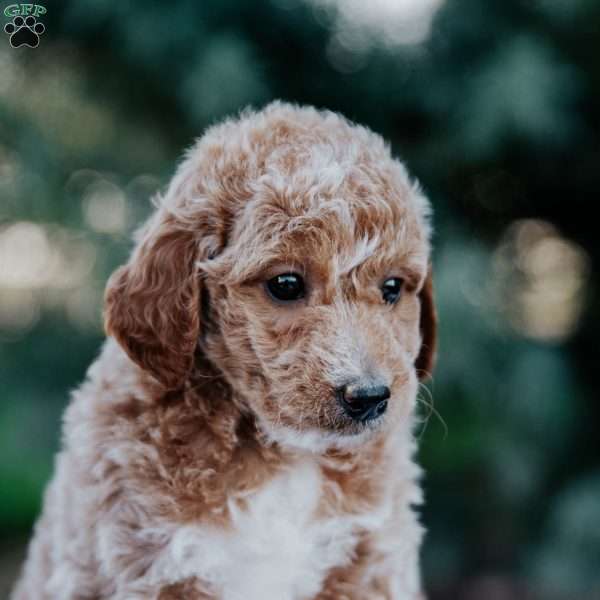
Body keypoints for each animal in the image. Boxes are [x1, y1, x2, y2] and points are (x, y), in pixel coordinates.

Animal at [12, 103, 436, 600]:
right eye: (286, 284)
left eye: (393, 287)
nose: (369, 396)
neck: (284, 454)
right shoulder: (151, 563)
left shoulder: (368, 561)